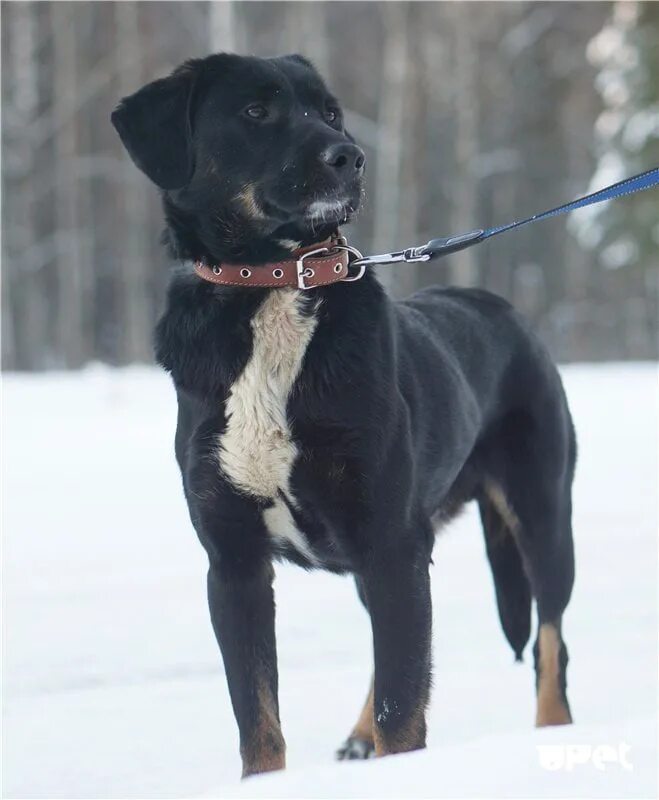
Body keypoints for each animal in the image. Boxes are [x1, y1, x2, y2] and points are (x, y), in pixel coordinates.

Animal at [114, 53, 576, 780]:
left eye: (329, 111)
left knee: (549, 644)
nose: (349, 156)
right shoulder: (235, 563)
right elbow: (260, 721)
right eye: (256, 110)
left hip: (542, 514)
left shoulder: (392, 543)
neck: (276, 283)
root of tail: (503, 310)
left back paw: (551, 734)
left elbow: (403, 704)